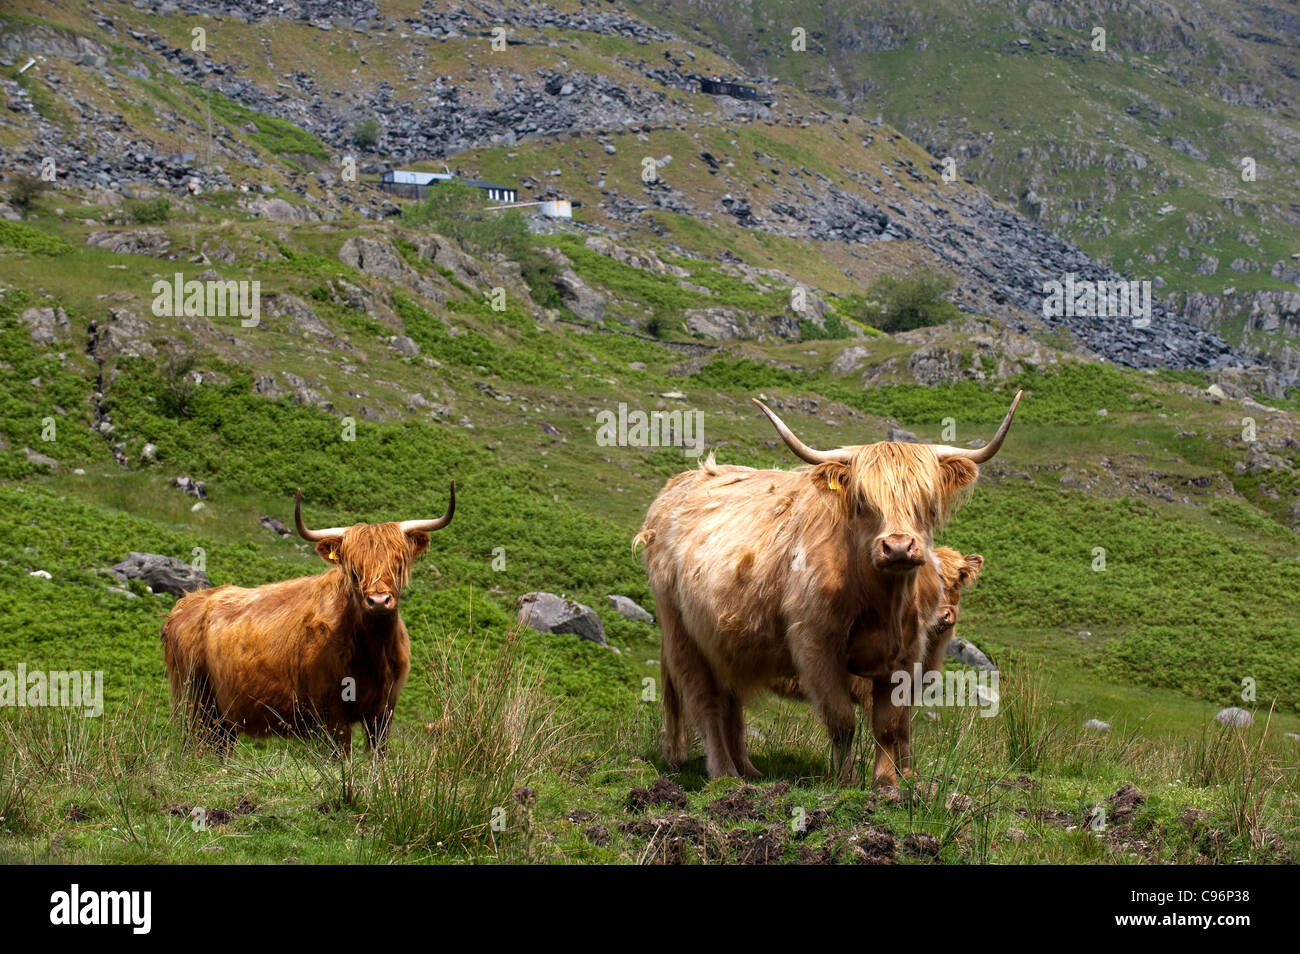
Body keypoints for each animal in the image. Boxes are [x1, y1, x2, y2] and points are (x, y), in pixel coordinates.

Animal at [162, 484, 455, 756]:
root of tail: (185, 604)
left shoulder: (383, 712)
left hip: (224, 717)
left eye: (398, 563)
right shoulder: (331, 713)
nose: (379, 600)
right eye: (354, 569)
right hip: (196, 703)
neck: (373, 650)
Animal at [637, 391, 1019, 784]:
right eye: (863, 501)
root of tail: (679, 485)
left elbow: (891, 726)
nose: (898, 546)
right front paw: (845, 778)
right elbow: (842, 721)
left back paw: (748, 769)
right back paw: (724, 773)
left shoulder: (904, 655)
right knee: (705, 702)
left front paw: (888, 782)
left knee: (731, 704)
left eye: (926, 503)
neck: (881, 602)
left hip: (726, 643)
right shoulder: (816, 647)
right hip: (683, 635)